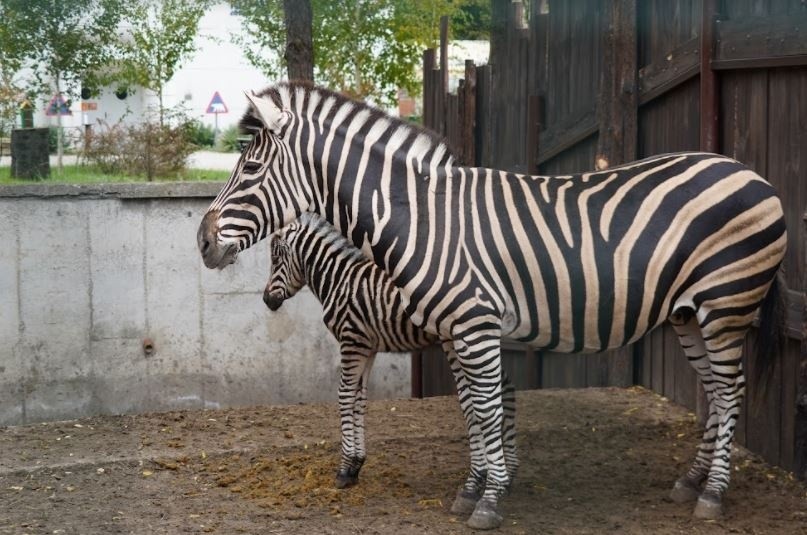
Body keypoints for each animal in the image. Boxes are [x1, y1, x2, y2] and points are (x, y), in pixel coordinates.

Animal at [266, 214, 516, 502]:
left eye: (275, 258)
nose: (266, 301)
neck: (339, 279)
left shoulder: (352, 341)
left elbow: (345, 396)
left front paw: (344, 470)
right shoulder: (367, 347)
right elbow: (360, 399)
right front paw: (356, 465)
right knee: (504, 390)